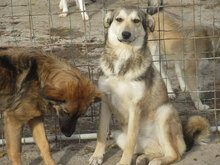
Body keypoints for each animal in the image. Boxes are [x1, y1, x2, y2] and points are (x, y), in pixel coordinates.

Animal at [88, 6, 210, 165]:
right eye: (118, 19)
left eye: (136, 21)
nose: (126, 34)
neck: (123, 56)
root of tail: (183, 139)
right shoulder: (105, 102)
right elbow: (101, 133)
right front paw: (97, 156)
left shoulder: (135, 106)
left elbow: (130, 140)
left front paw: (123, 162)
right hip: (118, 134)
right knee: (157, 150)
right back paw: (143, 158)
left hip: (164, 112)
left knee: (174, 154)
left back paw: (156, 161)